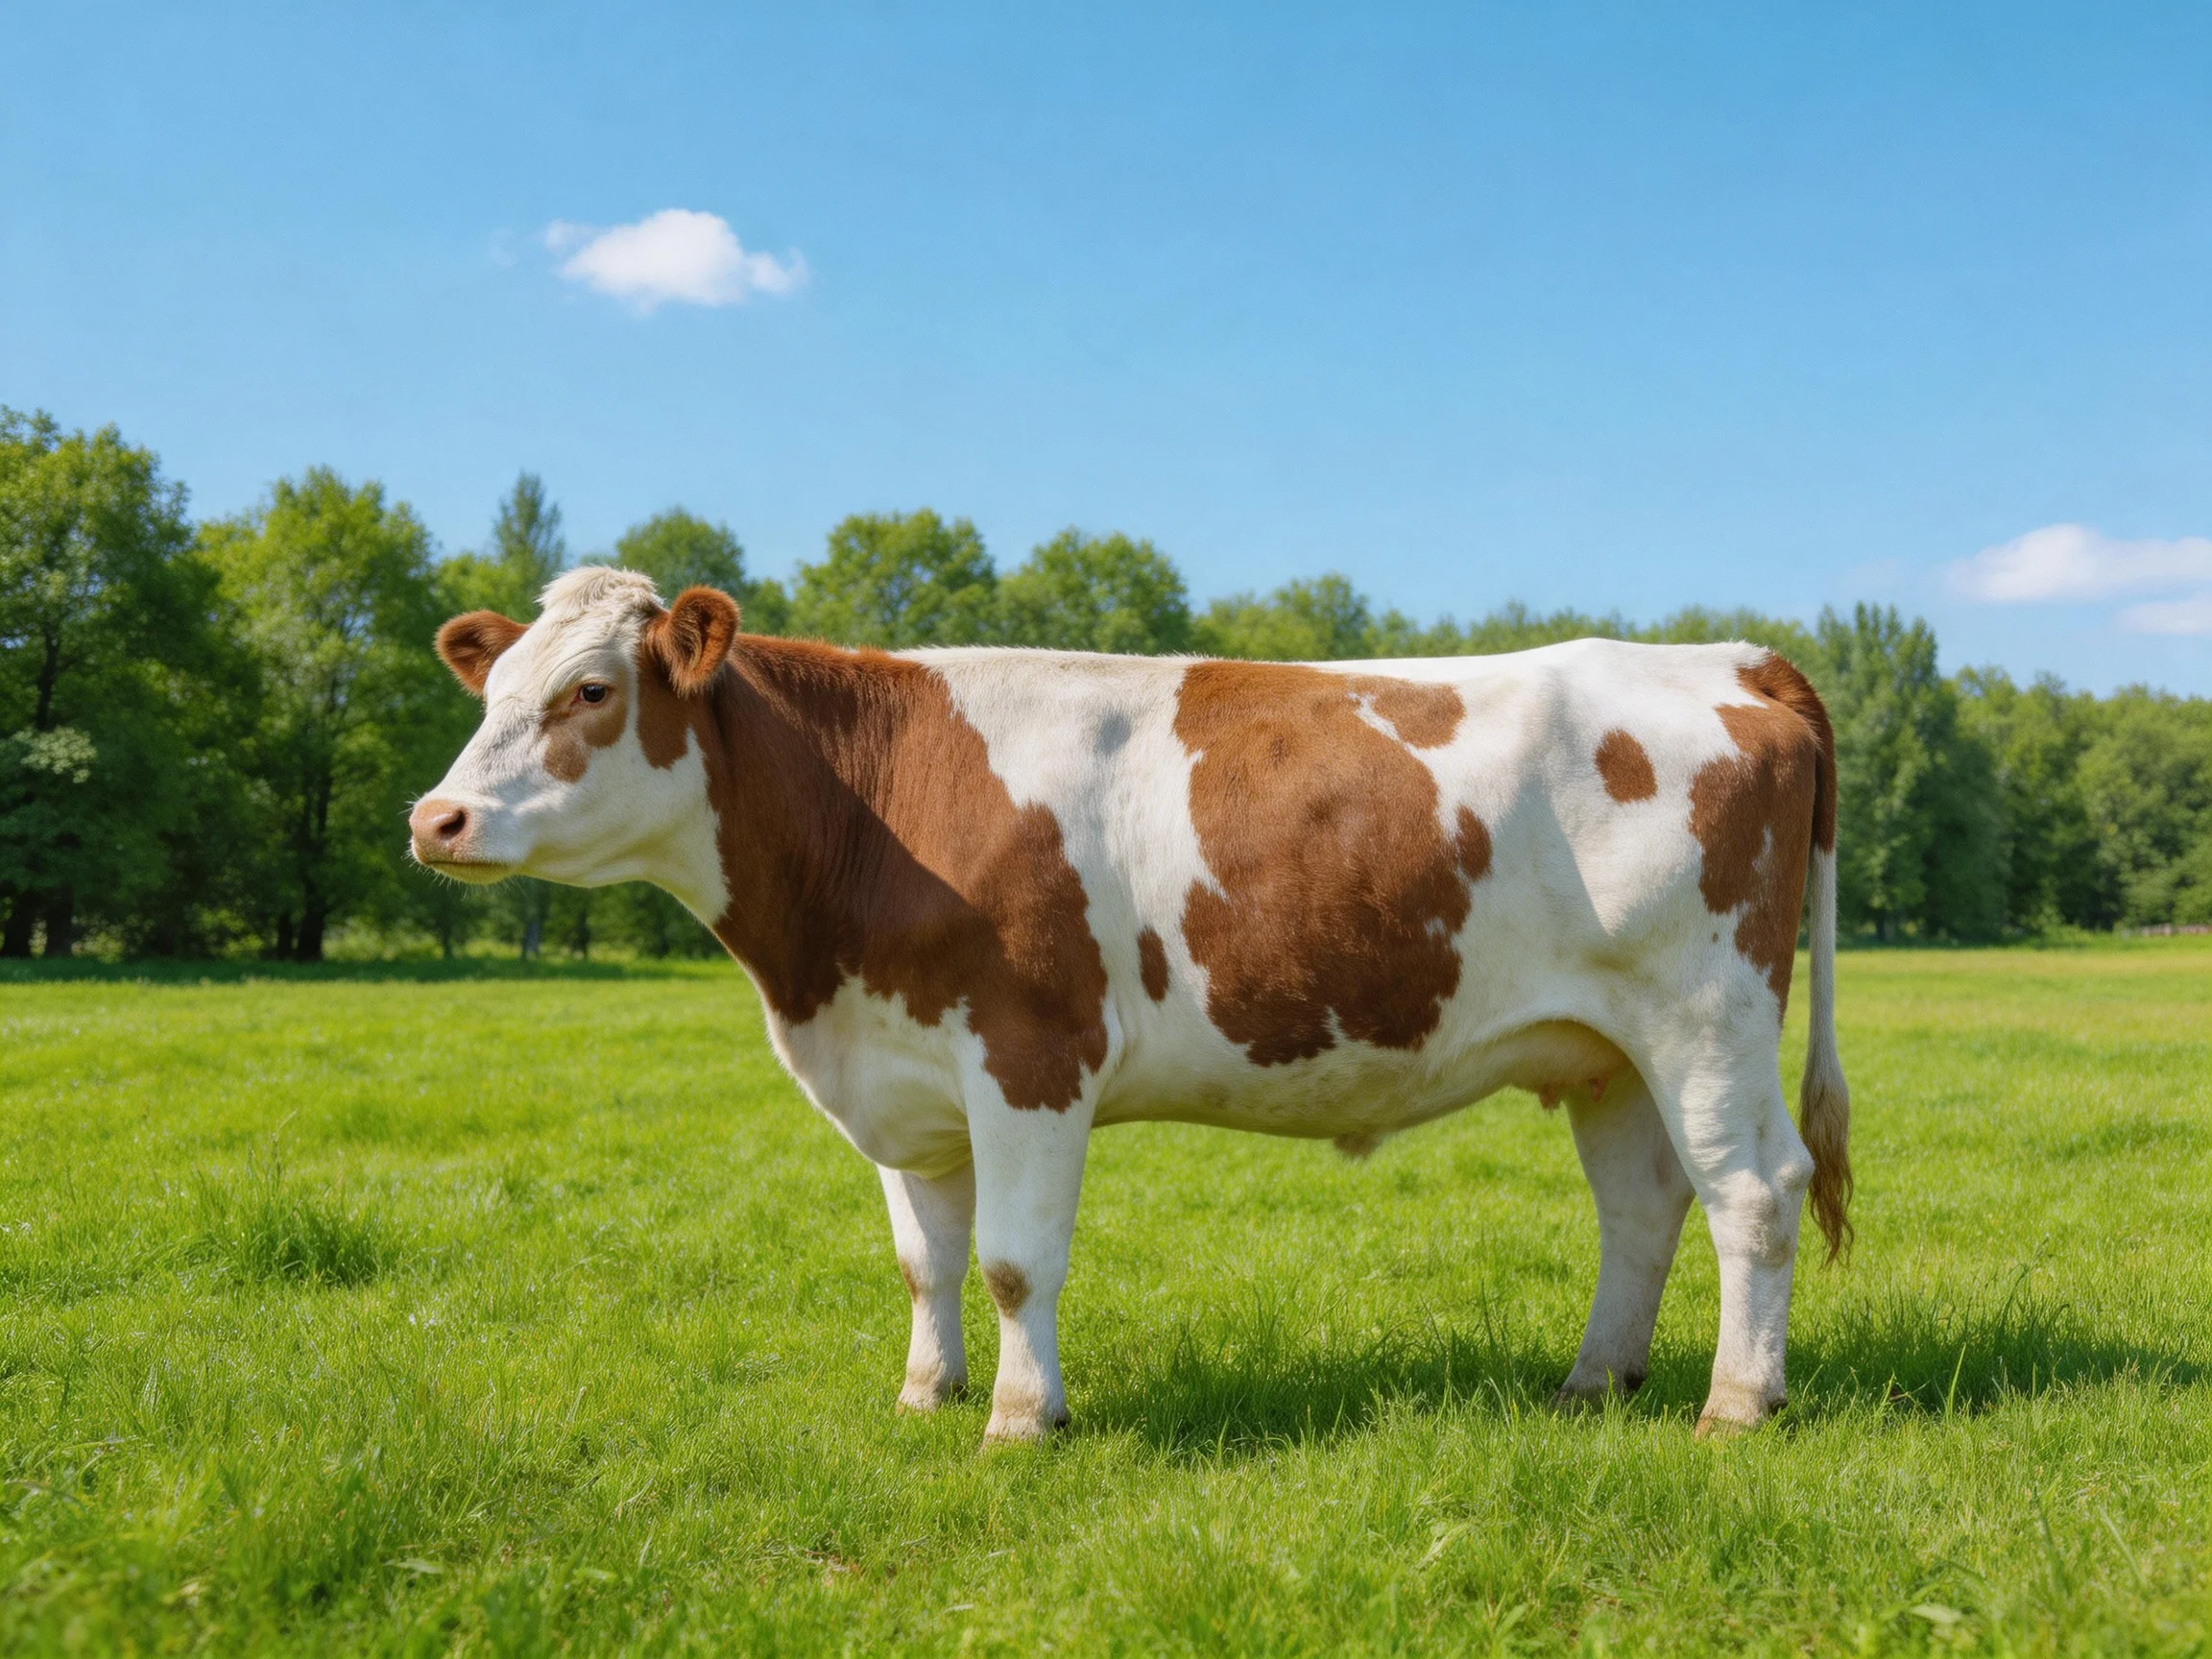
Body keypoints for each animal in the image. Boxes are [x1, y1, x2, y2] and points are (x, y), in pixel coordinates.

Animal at [411, 567, 1851, 1444]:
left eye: (591, 690)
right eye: (491, 689)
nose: (436, 818)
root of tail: (1732, 656)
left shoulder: (1030, 1058)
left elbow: (1011, 1259)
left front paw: (1020, 1420)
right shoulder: (904, 1078)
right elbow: (925, 1258)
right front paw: (925, 1397)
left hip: (1705, 1016)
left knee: (1755, 1191)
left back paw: (1738, 1403)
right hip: (1607, 1047)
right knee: (1644, 1204)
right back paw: (1594, 1381)